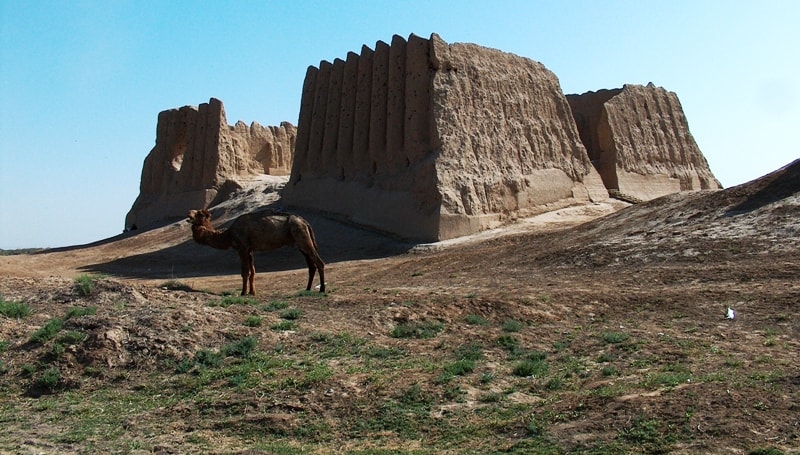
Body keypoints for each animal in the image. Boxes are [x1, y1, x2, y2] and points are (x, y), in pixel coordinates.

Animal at [188, 209, 324, 296]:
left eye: (198, 213)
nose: (189, 213)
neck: (229, 234)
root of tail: (305, 222)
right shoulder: (250, 250)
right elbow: (252, 271)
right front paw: (252, 292)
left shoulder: (242, 248)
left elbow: (244, 271)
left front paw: (243, 293)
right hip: (301, 241)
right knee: (311, 265)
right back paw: (307, 289)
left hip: (301, 236)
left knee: (319, 262)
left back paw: (322, 289)